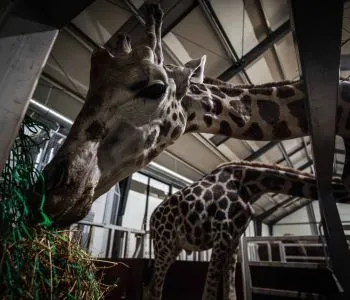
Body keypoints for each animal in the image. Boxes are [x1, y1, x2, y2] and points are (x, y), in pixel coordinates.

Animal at [144, 162, 348, 300]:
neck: (248, 185)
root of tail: (152, 218)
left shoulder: (233, 239)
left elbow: (231, 292)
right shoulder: (222, 233)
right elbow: (210, 291)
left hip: (173, 248)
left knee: (152, 283)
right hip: (164, 245)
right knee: (155, 287)